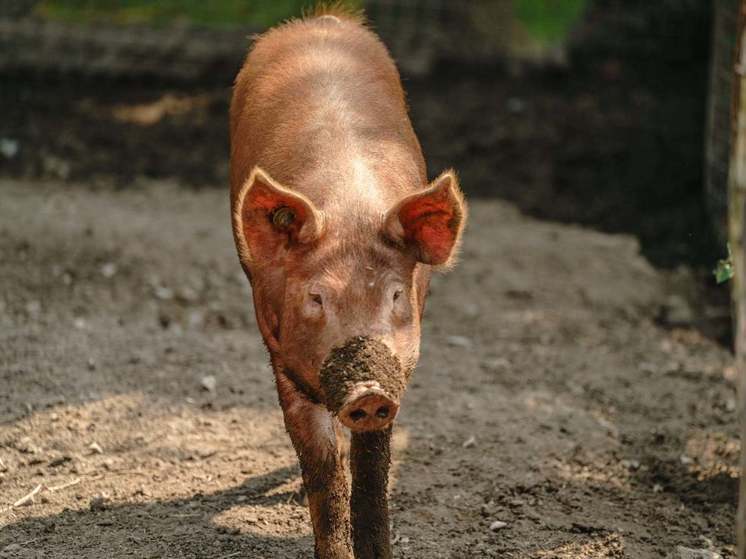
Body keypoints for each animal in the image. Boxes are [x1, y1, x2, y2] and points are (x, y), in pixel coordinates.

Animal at [230, 5, 464, 559]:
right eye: (316, 296)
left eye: (396, 294)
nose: (366, 390)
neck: (350, 210)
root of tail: (320, 20)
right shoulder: (279, 350)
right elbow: (322, 467)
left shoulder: (400, 367)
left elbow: (374, 466)